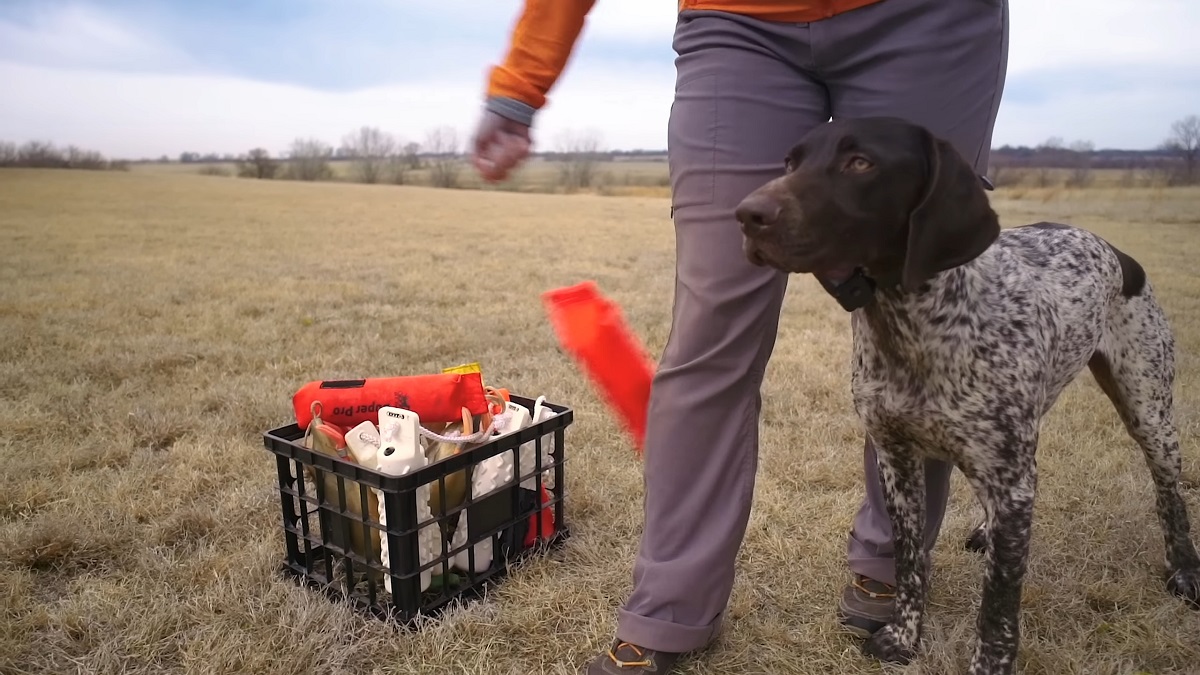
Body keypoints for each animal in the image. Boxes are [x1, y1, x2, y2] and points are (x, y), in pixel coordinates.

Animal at [734, 117, 1195, 672]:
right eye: (790, 162)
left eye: (860, 162)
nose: (747, 214)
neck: (912, 320)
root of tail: (1119, 253)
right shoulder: (897, 461)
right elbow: (909, 560)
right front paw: (903, 638)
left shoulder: (1005, 476)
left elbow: (998, 599)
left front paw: (989, 664)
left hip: (1148, 410)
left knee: (1169, 493)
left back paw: (1184, 569)